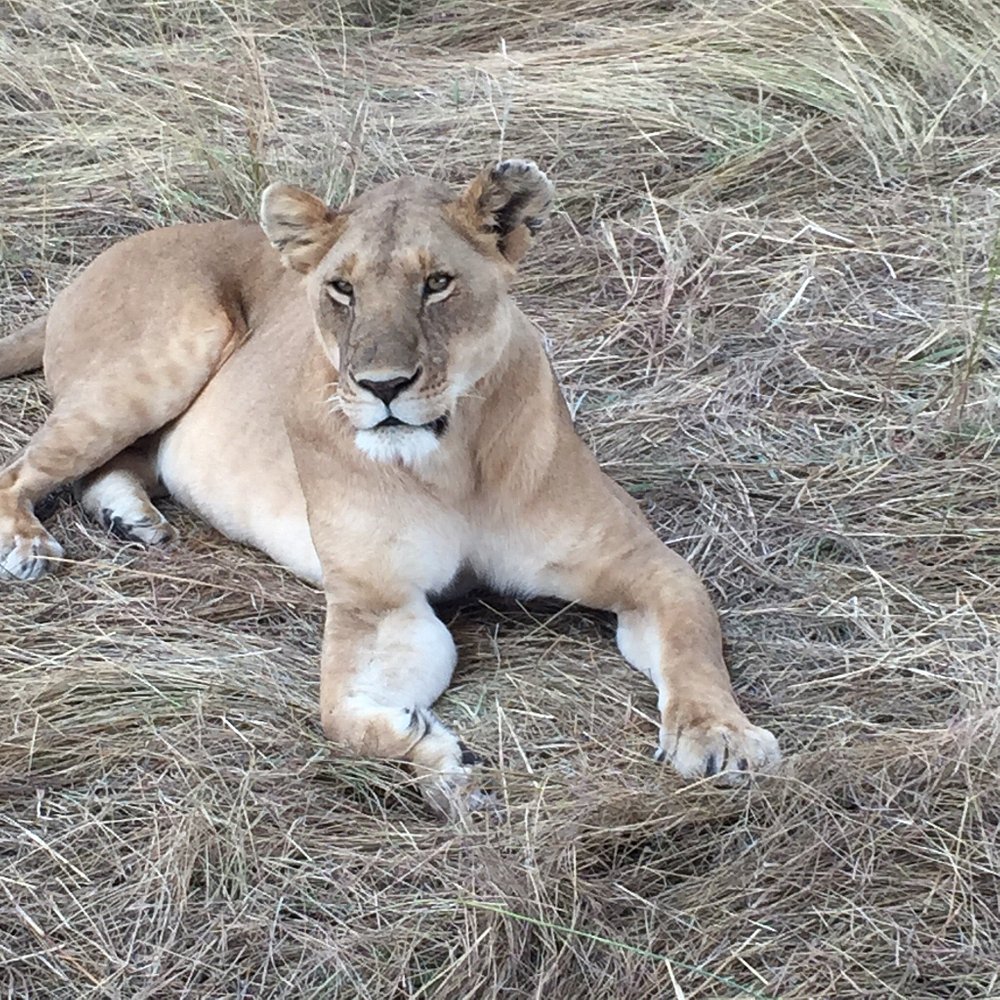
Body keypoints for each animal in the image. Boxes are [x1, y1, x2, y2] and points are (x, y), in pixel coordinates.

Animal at [0, 160, 780, 815]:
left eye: (437, 283)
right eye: (341, 289)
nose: (382, 387)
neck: (451, 462)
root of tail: (97, 263)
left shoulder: (643, 564)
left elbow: (691, 641)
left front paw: (719, 737)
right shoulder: (381, 605)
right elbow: (344, 717)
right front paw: (437, 760)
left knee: (113, 468)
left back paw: (130, 518)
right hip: (170, 351)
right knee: (22, 468)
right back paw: (28, 545)